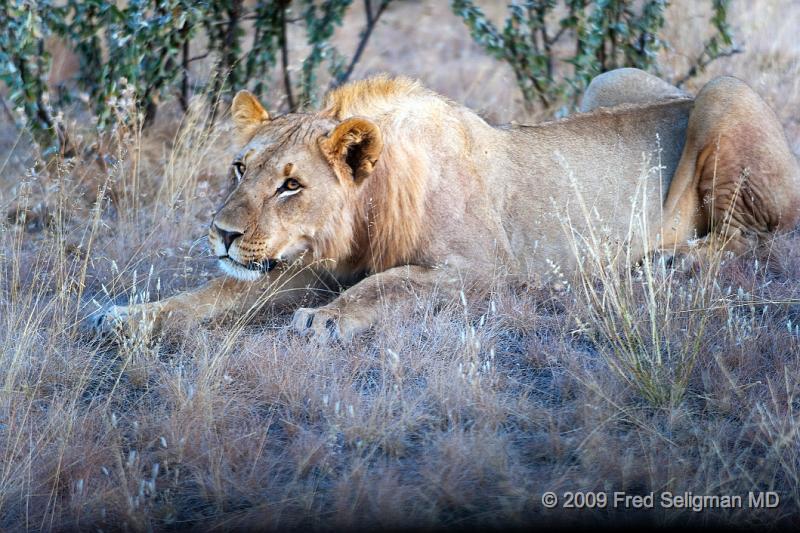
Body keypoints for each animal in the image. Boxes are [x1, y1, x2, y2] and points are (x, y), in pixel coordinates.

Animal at [94, 69, 800, 340]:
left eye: (291, 185)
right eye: (241, 168)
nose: (221, 234)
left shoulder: (487, 270)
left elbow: (393, 283)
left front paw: (327, 321)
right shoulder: (311, 266)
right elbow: (210, 295)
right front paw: (125, 316)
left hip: (724, 92)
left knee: (765, 231)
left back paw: (680, 259)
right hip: (608, 80)